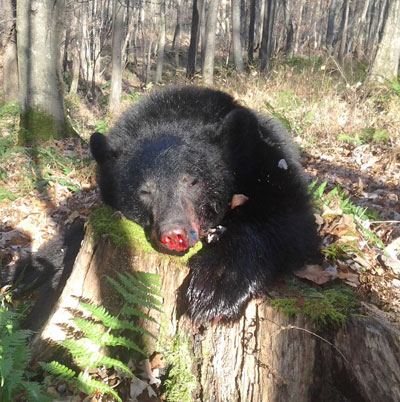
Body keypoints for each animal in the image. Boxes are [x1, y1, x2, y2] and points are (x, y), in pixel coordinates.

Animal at [90, 85, 318, 324]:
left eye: (192, 181)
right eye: (145, 191)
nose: (174, 233)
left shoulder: (268, 164)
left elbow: (289, 221)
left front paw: (214, 289)